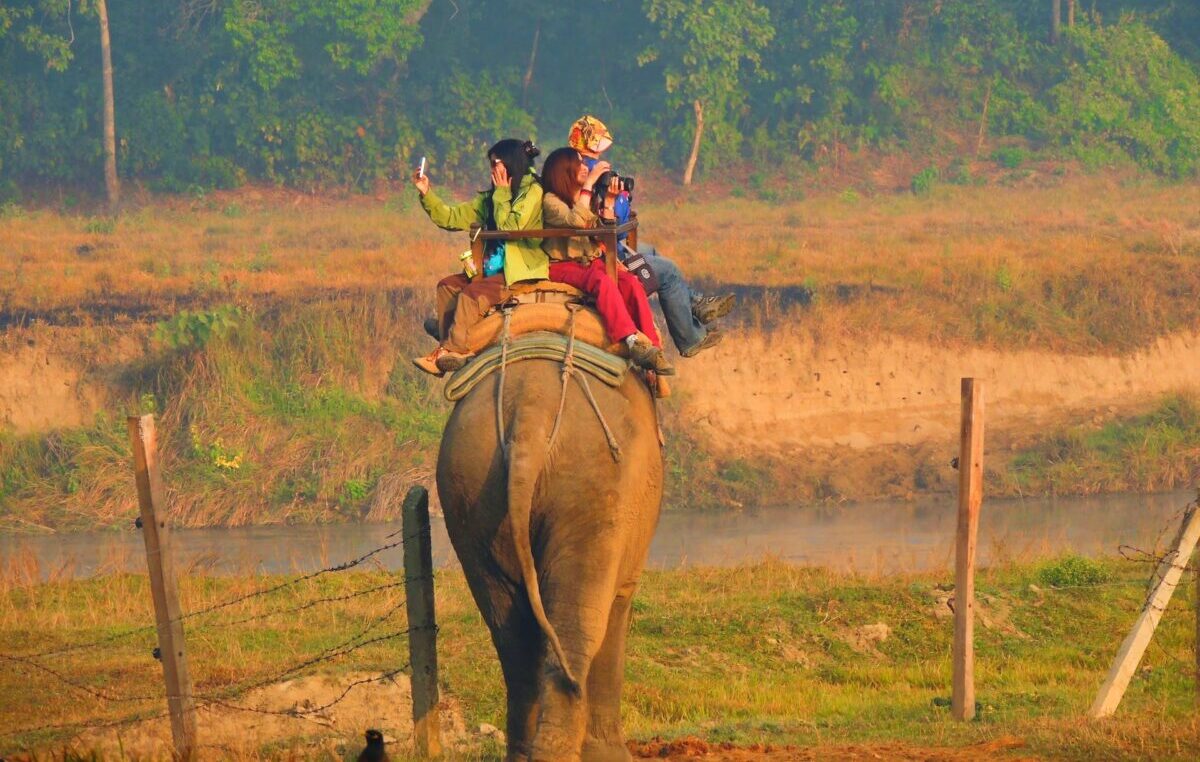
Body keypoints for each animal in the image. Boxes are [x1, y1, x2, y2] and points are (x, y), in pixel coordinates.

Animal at [436, 356, 664, 761]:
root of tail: (530, 412)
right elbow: (618, 607)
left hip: (470, 487)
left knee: (510, 631)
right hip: (592, 487)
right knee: (577, 622)